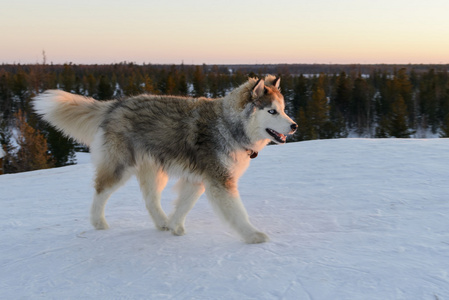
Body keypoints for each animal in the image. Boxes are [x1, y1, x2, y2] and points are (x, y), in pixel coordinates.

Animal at [32, 75, 298, 244]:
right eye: (272, 111)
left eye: (284, 109)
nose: (294, 126)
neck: (228, 125)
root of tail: (117, 104)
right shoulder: (220, 181)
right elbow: (238, 213)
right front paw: (253, 236)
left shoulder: (198, 180)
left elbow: (183, 205)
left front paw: (175, 227)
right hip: (120, 166)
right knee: (100, 190)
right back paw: (98, 223)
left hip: (153, 170)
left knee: (150, 200)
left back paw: (162, 223)